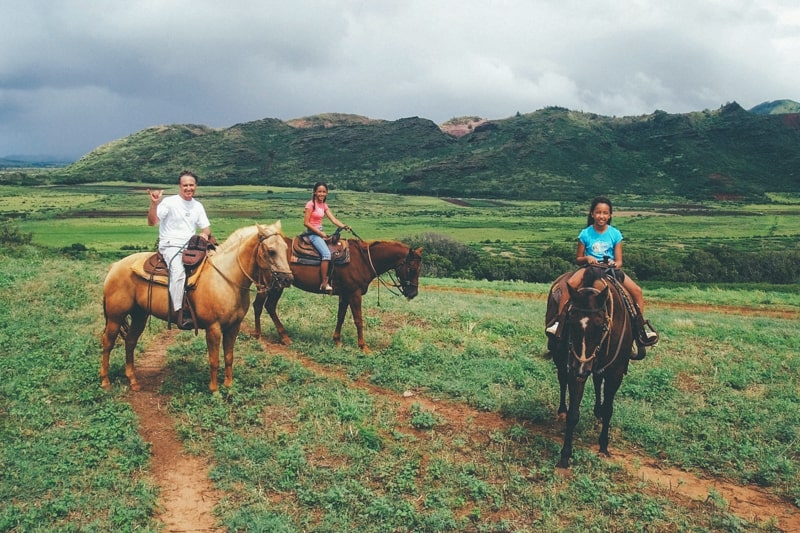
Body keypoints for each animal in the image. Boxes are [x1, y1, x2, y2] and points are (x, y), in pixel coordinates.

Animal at [100, 220, 294, 390]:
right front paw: (214, 390)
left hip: (139, 315)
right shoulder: (213, 328)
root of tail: (115, 266)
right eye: (271, 251)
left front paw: (228, 386)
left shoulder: (233, 327)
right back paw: (105, 381)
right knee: (108, 343)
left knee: (130, 341)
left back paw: (133, 381)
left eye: (286, 249)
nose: (287, 279)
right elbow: (214, 360)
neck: (226, 278)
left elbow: (229, 357)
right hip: (116, 317)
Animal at [255, 238, 424, 354]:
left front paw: (337, 340)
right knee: (259, 306)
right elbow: (358, 320)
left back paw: (284, 337)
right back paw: (259, 336)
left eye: (419, 270)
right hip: (270, 286)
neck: (363, 261)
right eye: (412, 269)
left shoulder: (345, 295)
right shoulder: (354, 294)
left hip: (278, 286)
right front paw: (363, 346)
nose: (413, 293)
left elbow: (340, 317)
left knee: (269, 306)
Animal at [544, 264, 636, 466]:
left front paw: (603, 445)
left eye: (601, 326)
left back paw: (598, 411)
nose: (581, 368)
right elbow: (573, 412)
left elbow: (609, 409)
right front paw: (565, 455)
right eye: (570, 322)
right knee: (563, 379)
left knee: (597, 379)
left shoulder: (616, 371)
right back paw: (562, 411)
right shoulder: (574, 365)